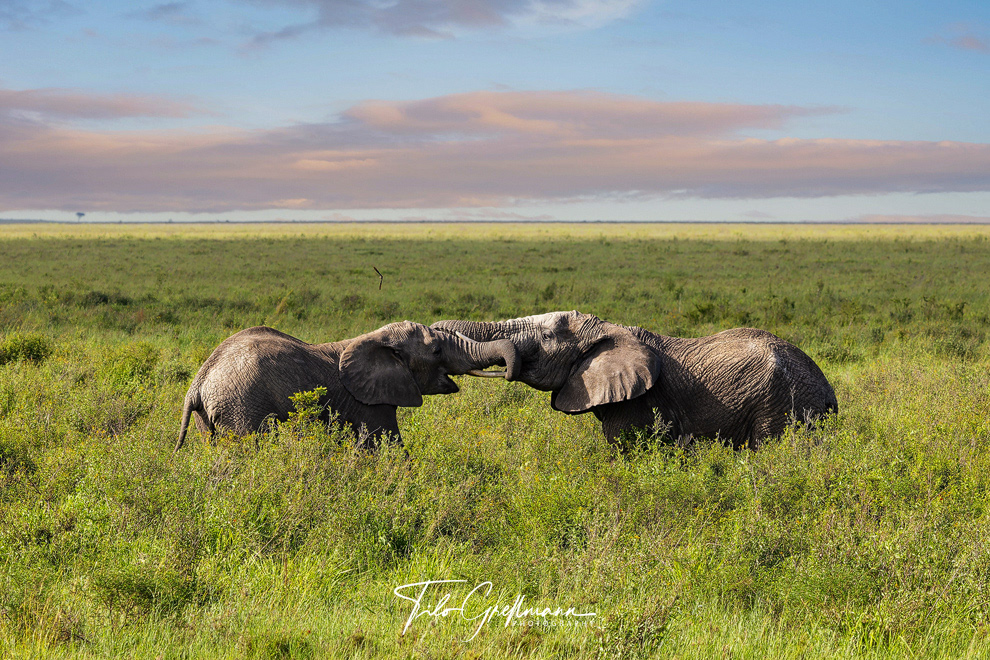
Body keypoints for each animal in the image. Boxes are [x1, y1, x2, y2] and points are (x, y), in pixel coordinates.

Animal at [175, 321, 518, 451]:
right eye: (435, 351)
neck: (374, 338)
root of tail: (198, 383)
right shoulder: (369, 402)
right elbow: (387, 446)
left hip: (211, 417)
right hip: (242, 407)